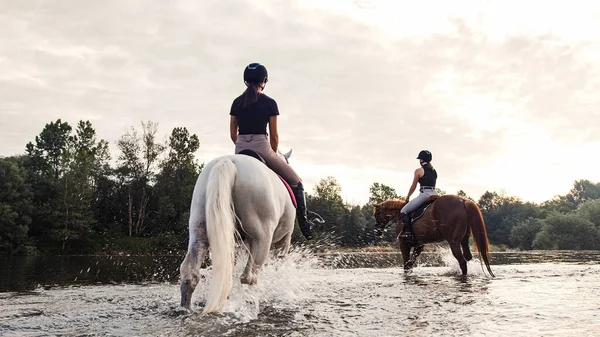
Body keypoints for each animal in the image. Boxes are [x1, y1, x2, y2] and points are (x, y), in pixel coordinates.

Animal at [180, 150, 298, 312]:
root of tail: (228, 161)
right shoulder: (284, 241)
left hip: (199, 227)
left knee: (190, 271)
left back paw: (186, 308)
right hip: (263, 239)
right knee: (249, 277)